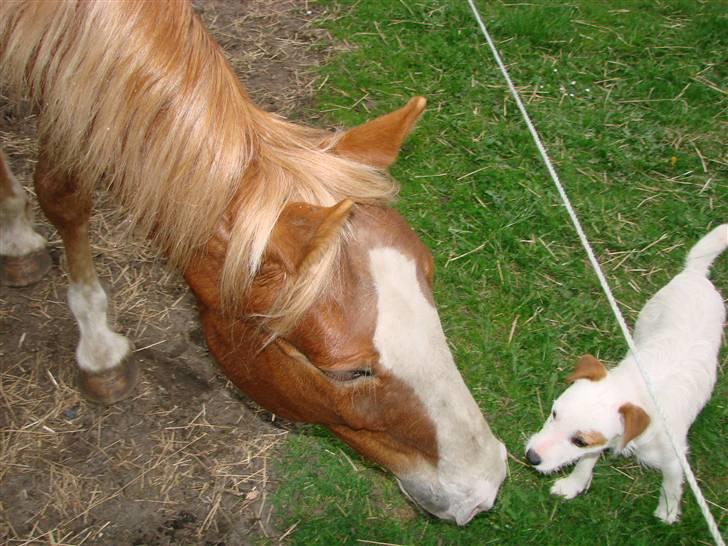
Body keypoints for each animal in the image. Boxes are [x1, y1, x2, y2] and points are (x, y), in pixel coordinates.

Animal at [528, 223, 724, 520]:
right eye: (554, 413)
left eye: (580, 440)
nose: (530, 457)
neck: (638, 391)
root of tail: (695, 274)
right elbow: (585, 464)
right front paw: (574, 484)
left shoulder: (674, 458)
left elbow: (671, 484)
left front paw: (667, 512)